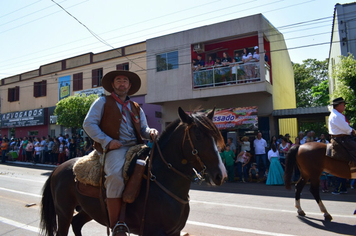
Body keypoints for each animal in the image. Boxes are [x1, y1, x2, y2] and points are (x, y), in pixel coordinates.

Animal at [40, 107, 227, 236]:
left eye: (215, 136)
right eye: (198, 136)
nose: (221, 175)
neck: (161, 180)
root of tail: (58, 168)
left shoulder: (174, 232)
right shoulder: (154, 232)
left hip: (87, 210)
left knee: (77, 224)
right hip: (63, 212)